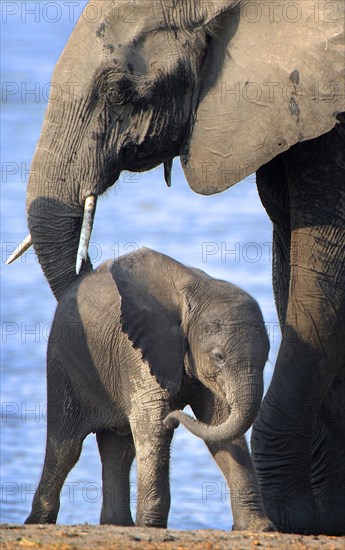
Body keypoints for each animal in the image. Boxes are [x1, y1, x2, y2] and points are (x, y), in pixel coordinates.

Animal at [24, 248, 272, 532]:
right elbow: (152, 424)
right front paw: (151, 526)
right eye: (218, 356)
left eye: (267, 358)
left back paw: (117, 525)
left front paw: (260, 529)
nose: (174, 417)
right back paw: (38, 522)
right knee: (66, 448)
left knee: (119, 450)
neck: (197, 294)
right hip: (63, 363)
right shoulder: (139, 349)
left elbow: (219, 424)